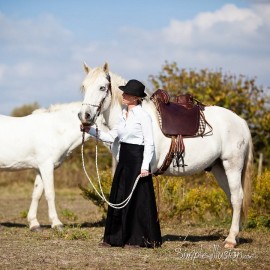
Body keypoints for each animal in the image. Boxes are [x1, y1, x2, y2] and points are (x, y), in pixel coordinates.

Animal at [0, 102, 107, 231]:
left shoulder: (40, 168)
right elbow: (50, 194)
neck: (55, 131)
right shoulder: (46, 166)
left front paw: (34, 224)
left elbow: (37, 194)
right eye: (105, 122)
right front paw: (56, 223)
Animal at [77, 62, 253, 248]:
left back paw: (231, 240)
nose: (84, 116)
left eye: (102, 87)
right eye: (84, 86)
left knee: (237, 197)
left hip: (232, 166)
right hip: (219, 168)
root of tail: (241, 122)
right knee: (232, 197)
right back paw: (235, 236)